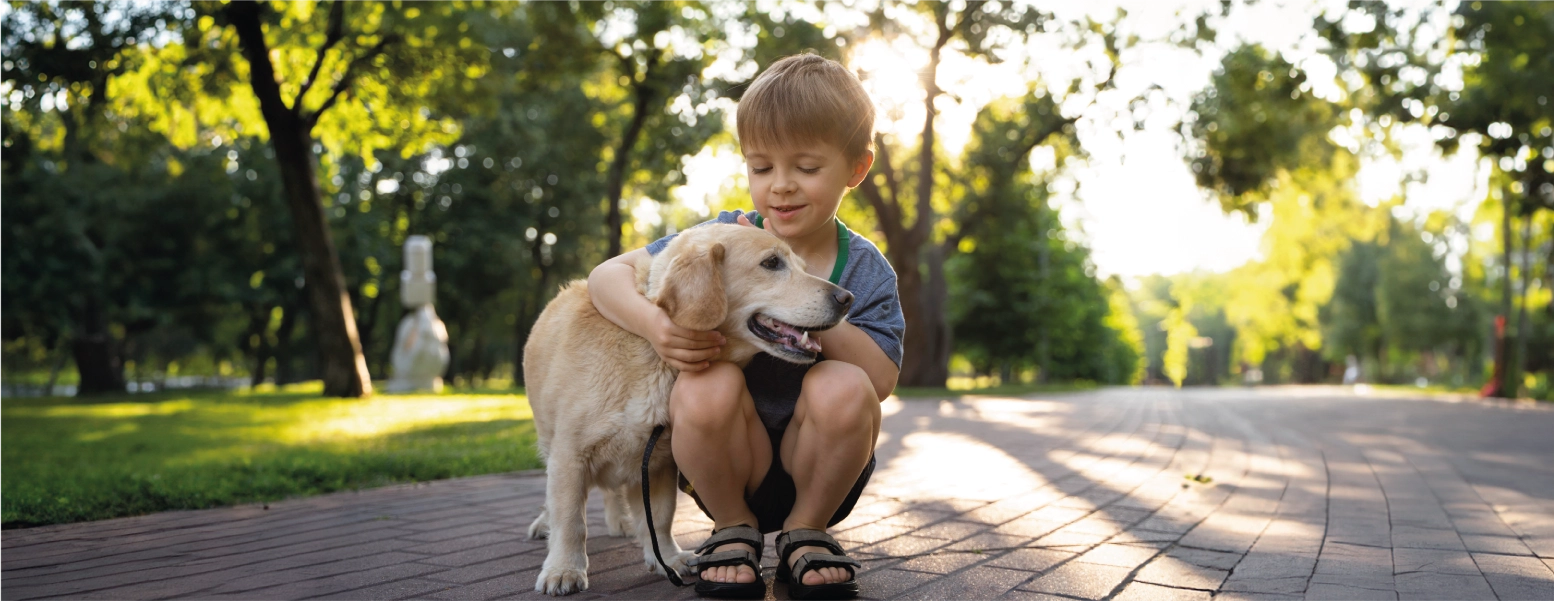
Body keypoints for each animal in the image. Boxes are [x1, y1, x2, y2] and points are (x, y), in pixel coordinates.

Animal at [528, 225, 857, 596]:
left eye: (802, 265)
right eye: (772, 263)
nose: (847, 299)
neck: (655, 355)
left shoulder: (657, 462)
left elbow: (659, 518)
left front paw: (667, 559)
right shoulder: (570, 456)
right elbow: (571, 520)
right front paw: (564, 569)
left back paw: (620, 521)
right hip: (550, 443)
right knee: (555, 503)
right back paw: (545, 525)